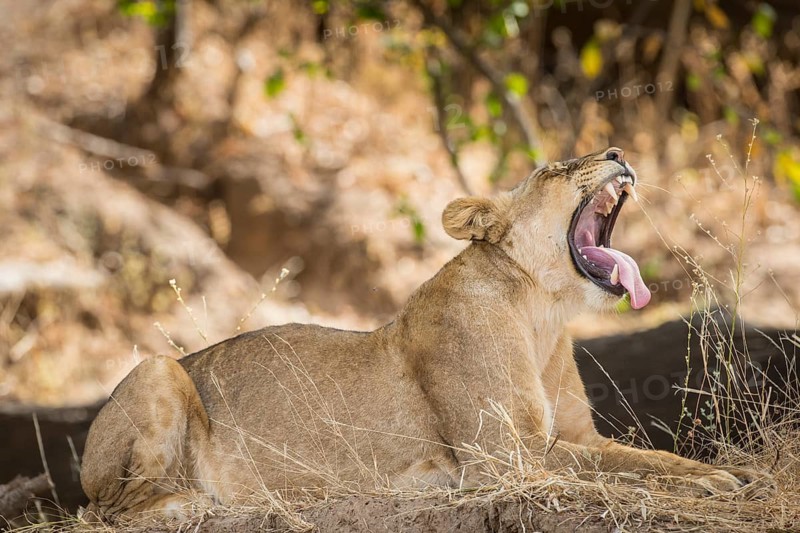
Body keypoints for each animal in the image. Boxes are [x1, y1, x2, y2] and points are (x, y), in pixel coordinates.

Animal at [81, 147, 774, 521]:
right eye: (554, 169)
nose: (619, 153)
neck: (542, 313)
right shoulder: (505, 460)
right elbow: (611, 477)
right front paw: (711, 485)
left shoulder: (567, 438)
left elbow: (647, 459)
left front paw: (733, 473)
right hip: (157, 370)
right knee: (108, 506)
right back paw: (193, 504)